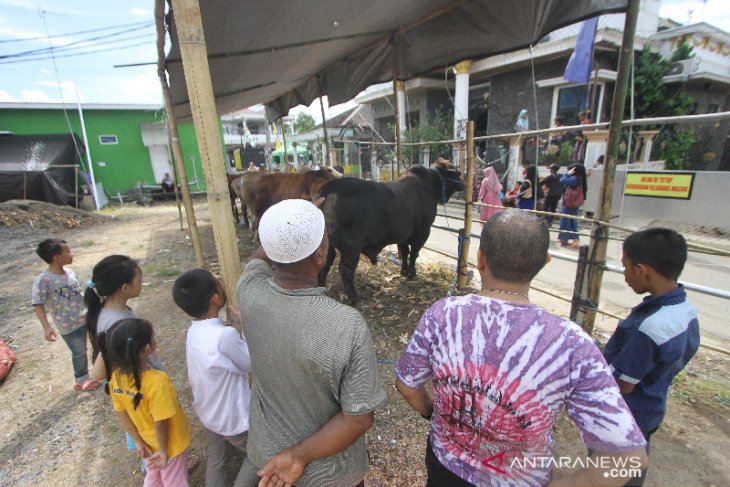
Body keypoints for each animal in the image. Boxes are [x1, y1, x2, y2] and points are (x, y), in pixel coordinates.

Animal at [316, 163, 464, 304]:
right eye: (455, 174)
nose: (463, 183)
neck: (431, 183)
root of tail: (330, 188)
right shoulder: (423, 232)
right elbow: (414, 254)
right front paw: (412, 273)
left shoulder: (403, 236)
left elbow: (404, 253)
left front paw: (404, 271)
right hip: (351, 246)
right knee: (345, 270)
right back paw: (354, 298)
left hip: (327, 245)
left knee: (324, 264)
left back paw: (323, 291)